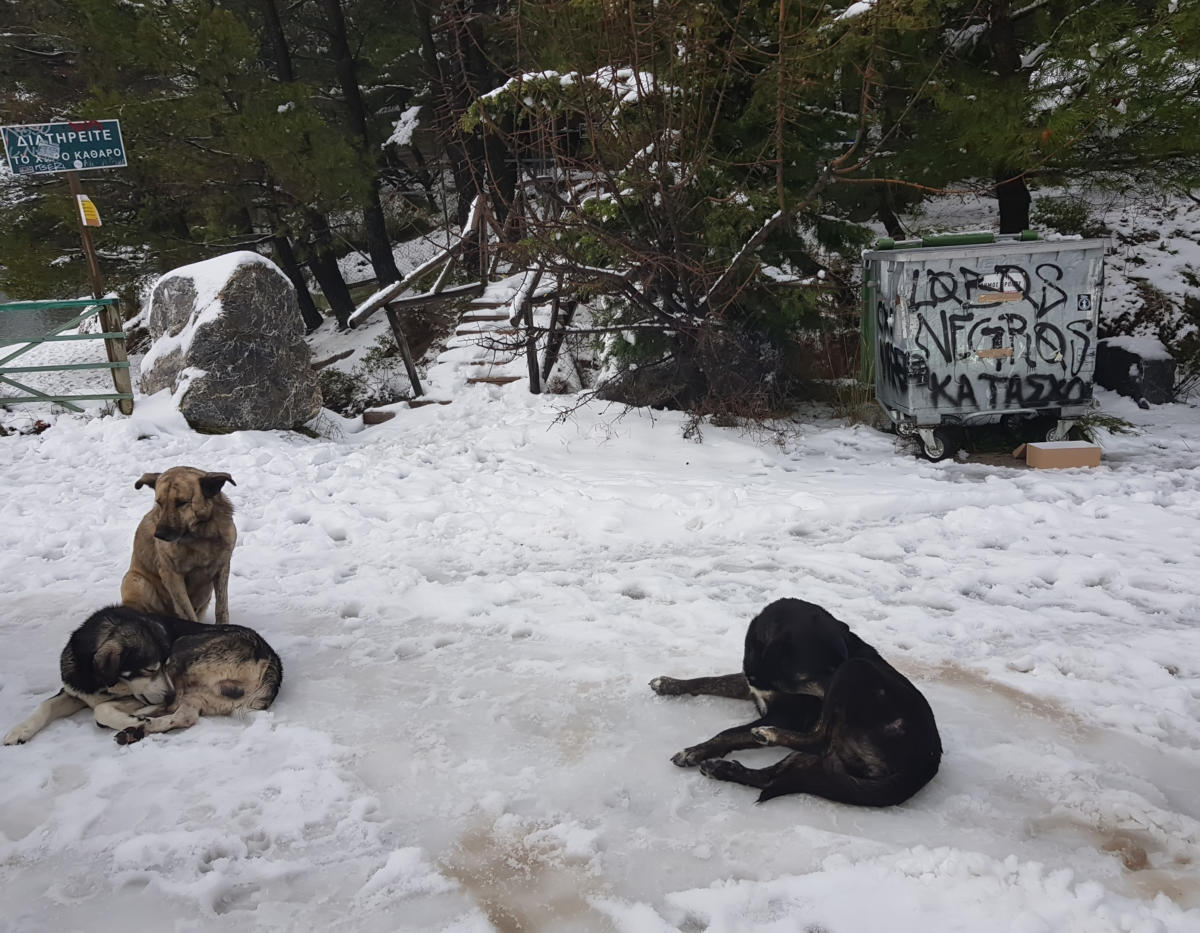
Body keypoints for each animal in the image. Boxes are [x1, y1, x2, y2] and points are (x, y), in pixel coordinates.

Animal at [3, 604, 282, 743]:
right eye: (149, 669)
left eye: (160, 665)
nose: (168, 695)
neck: (98, 682)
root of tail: (272, 662)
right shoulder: (73, 689)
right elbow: (45, 706)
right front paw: (19, 731)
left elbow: (101, 709)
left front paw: (127, 718)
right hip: (200, 694)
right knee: (186, 716)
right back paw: (140, 728)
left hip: (184, 649)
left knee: (176, 708)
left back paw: (139, 723)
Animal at [120, 465, 237, 623]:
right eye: (159, 503)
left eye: (181, 502)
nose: (159, 534)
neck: (199, 537)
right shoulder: (172, 575)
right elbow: (187, 612)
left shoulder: (222, 567)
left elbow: (221, 608)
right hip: (135, 581)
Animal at [652, 599, 940, 801]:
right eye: (825, 668)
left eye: (837, 663)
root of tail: (926, 763)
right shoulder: (752, 685)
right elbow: (707, 681)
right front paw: (668, 683)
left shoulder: (788, 715)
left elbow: (730, 732)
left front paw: (694, 751)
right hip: (825, 758)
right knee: (772, 777)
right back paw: (722, 769)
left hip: (855, 673)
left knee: (819, 739)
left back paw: (767, 734)